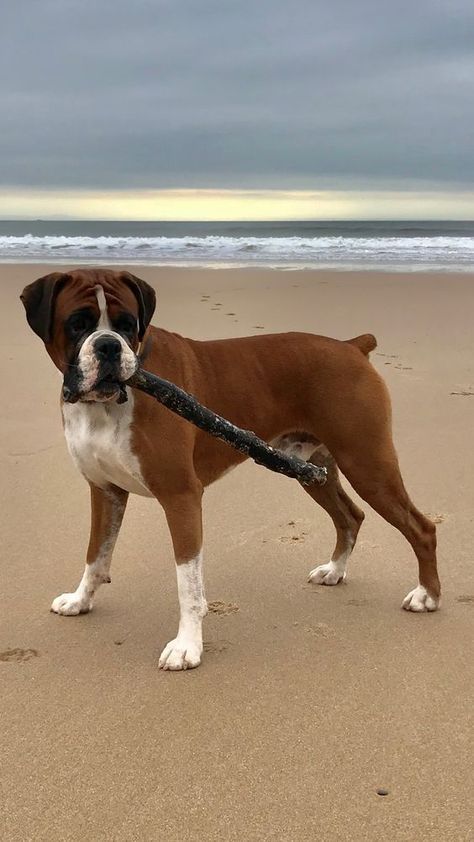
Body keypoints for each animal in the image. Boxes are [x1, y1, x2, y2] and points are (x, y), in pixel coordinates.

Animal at [20, 266, 438, 668]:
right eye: (78, 323)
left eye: (127, 324)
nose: (108, 345)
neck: (105, 406)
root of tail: (352, 346)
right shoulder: (105, 492)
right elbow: (96, 554)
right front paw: (80, 600)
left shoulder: (181, 497)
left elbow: (187, 584)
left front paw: (187, 646)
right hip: (312, 470)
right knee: (350, 515)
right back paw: (334, 571)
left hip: (367, 463)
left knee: (421, 527)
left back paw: (427, 596)